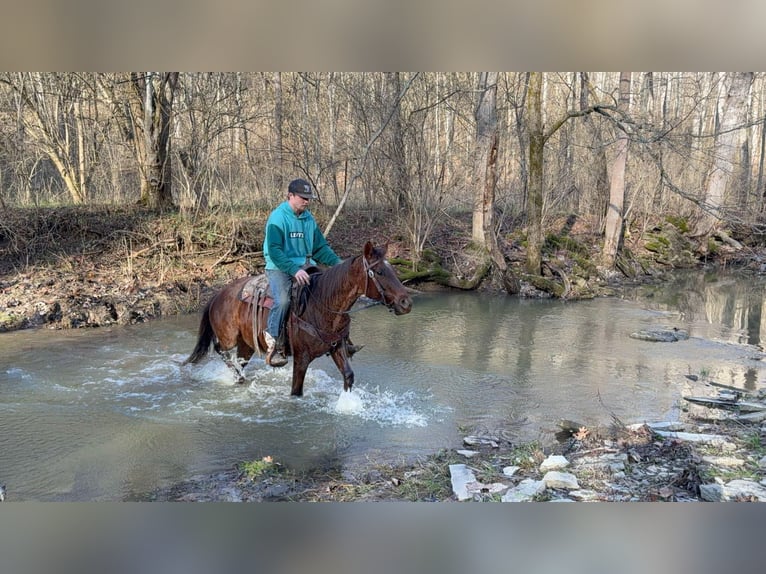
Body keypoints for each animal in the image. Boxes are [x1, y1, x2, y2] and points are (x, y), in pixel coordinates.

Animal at [185, 242, 412, 396]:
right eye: (379, 271)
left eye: (393, 269)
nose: (406, 302)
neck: (322, 304)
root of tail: (217, 294)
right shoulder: (301, 359)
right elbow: (296, 390)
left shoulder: (337, 346)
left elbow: (348, 375)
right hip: (229, 337)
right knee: (220, 349)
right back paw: (235, 373)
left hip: (246, 344)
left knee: (240, 359)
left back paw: (240, 377)